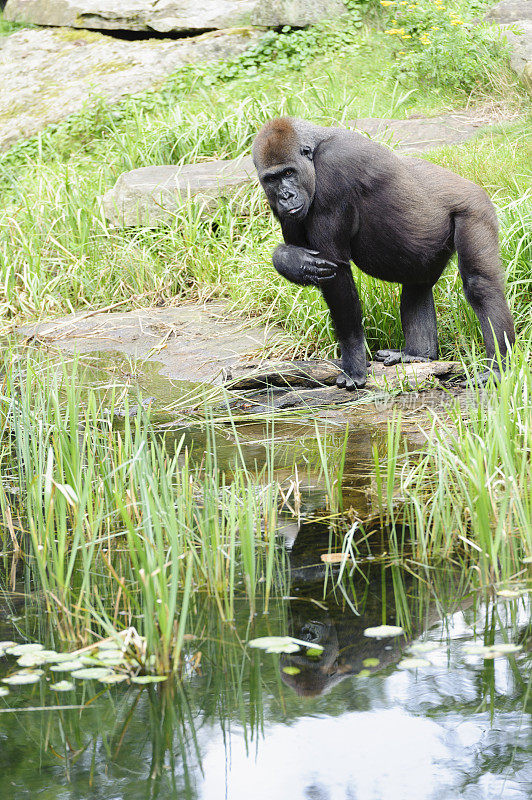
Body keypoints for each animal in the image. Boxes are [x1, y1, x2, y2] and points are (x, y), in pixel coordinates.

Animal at [254, 117, 516, 390]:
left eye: (288, 173)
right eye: (271, 179)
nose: (286, 196)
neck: (315, 149)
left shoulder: (333, 170)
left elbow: (336, 272)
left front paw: (354, 362)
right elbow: (309, 262)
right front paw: (288, 259)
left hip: (475, 208)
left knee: (480, 284)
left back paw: (497, 367)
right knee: (418, 285)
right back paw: (418, 354)